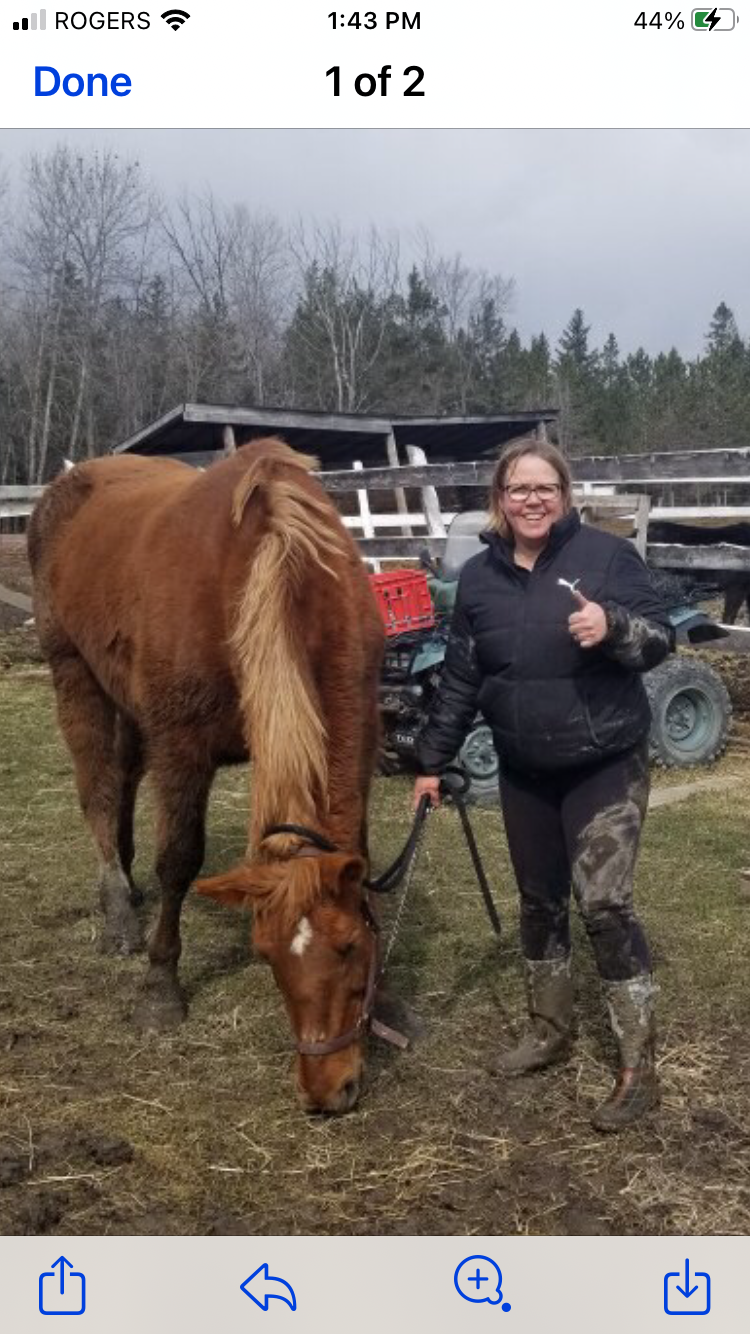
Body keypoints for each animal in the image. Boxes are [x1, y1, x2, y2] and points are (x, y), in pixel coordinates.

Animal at [27, 439, 385, 1113]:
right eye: (264, 954)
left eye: (353, 946)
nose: (328, 1091)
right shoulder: (182, 748)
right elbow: (178, 860)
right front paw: (159, 989)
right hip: (74, 674)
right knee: (99, 791)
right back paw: (117, 913)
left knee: (124, 781)